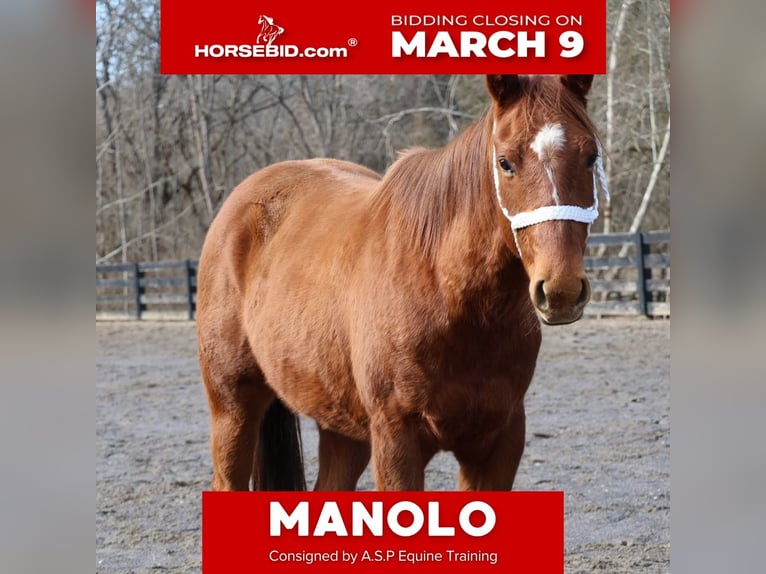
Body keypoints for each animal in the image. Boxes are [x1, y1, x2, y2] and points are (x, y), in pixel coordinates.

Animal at [196, 74, 609, 492]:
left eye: (591, 157)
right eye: (505, 162)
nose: (560, 289)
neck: (447, 293)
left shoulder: (498, 443)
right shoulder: (396, 440)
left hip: (342, 427)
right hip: (233, 407)